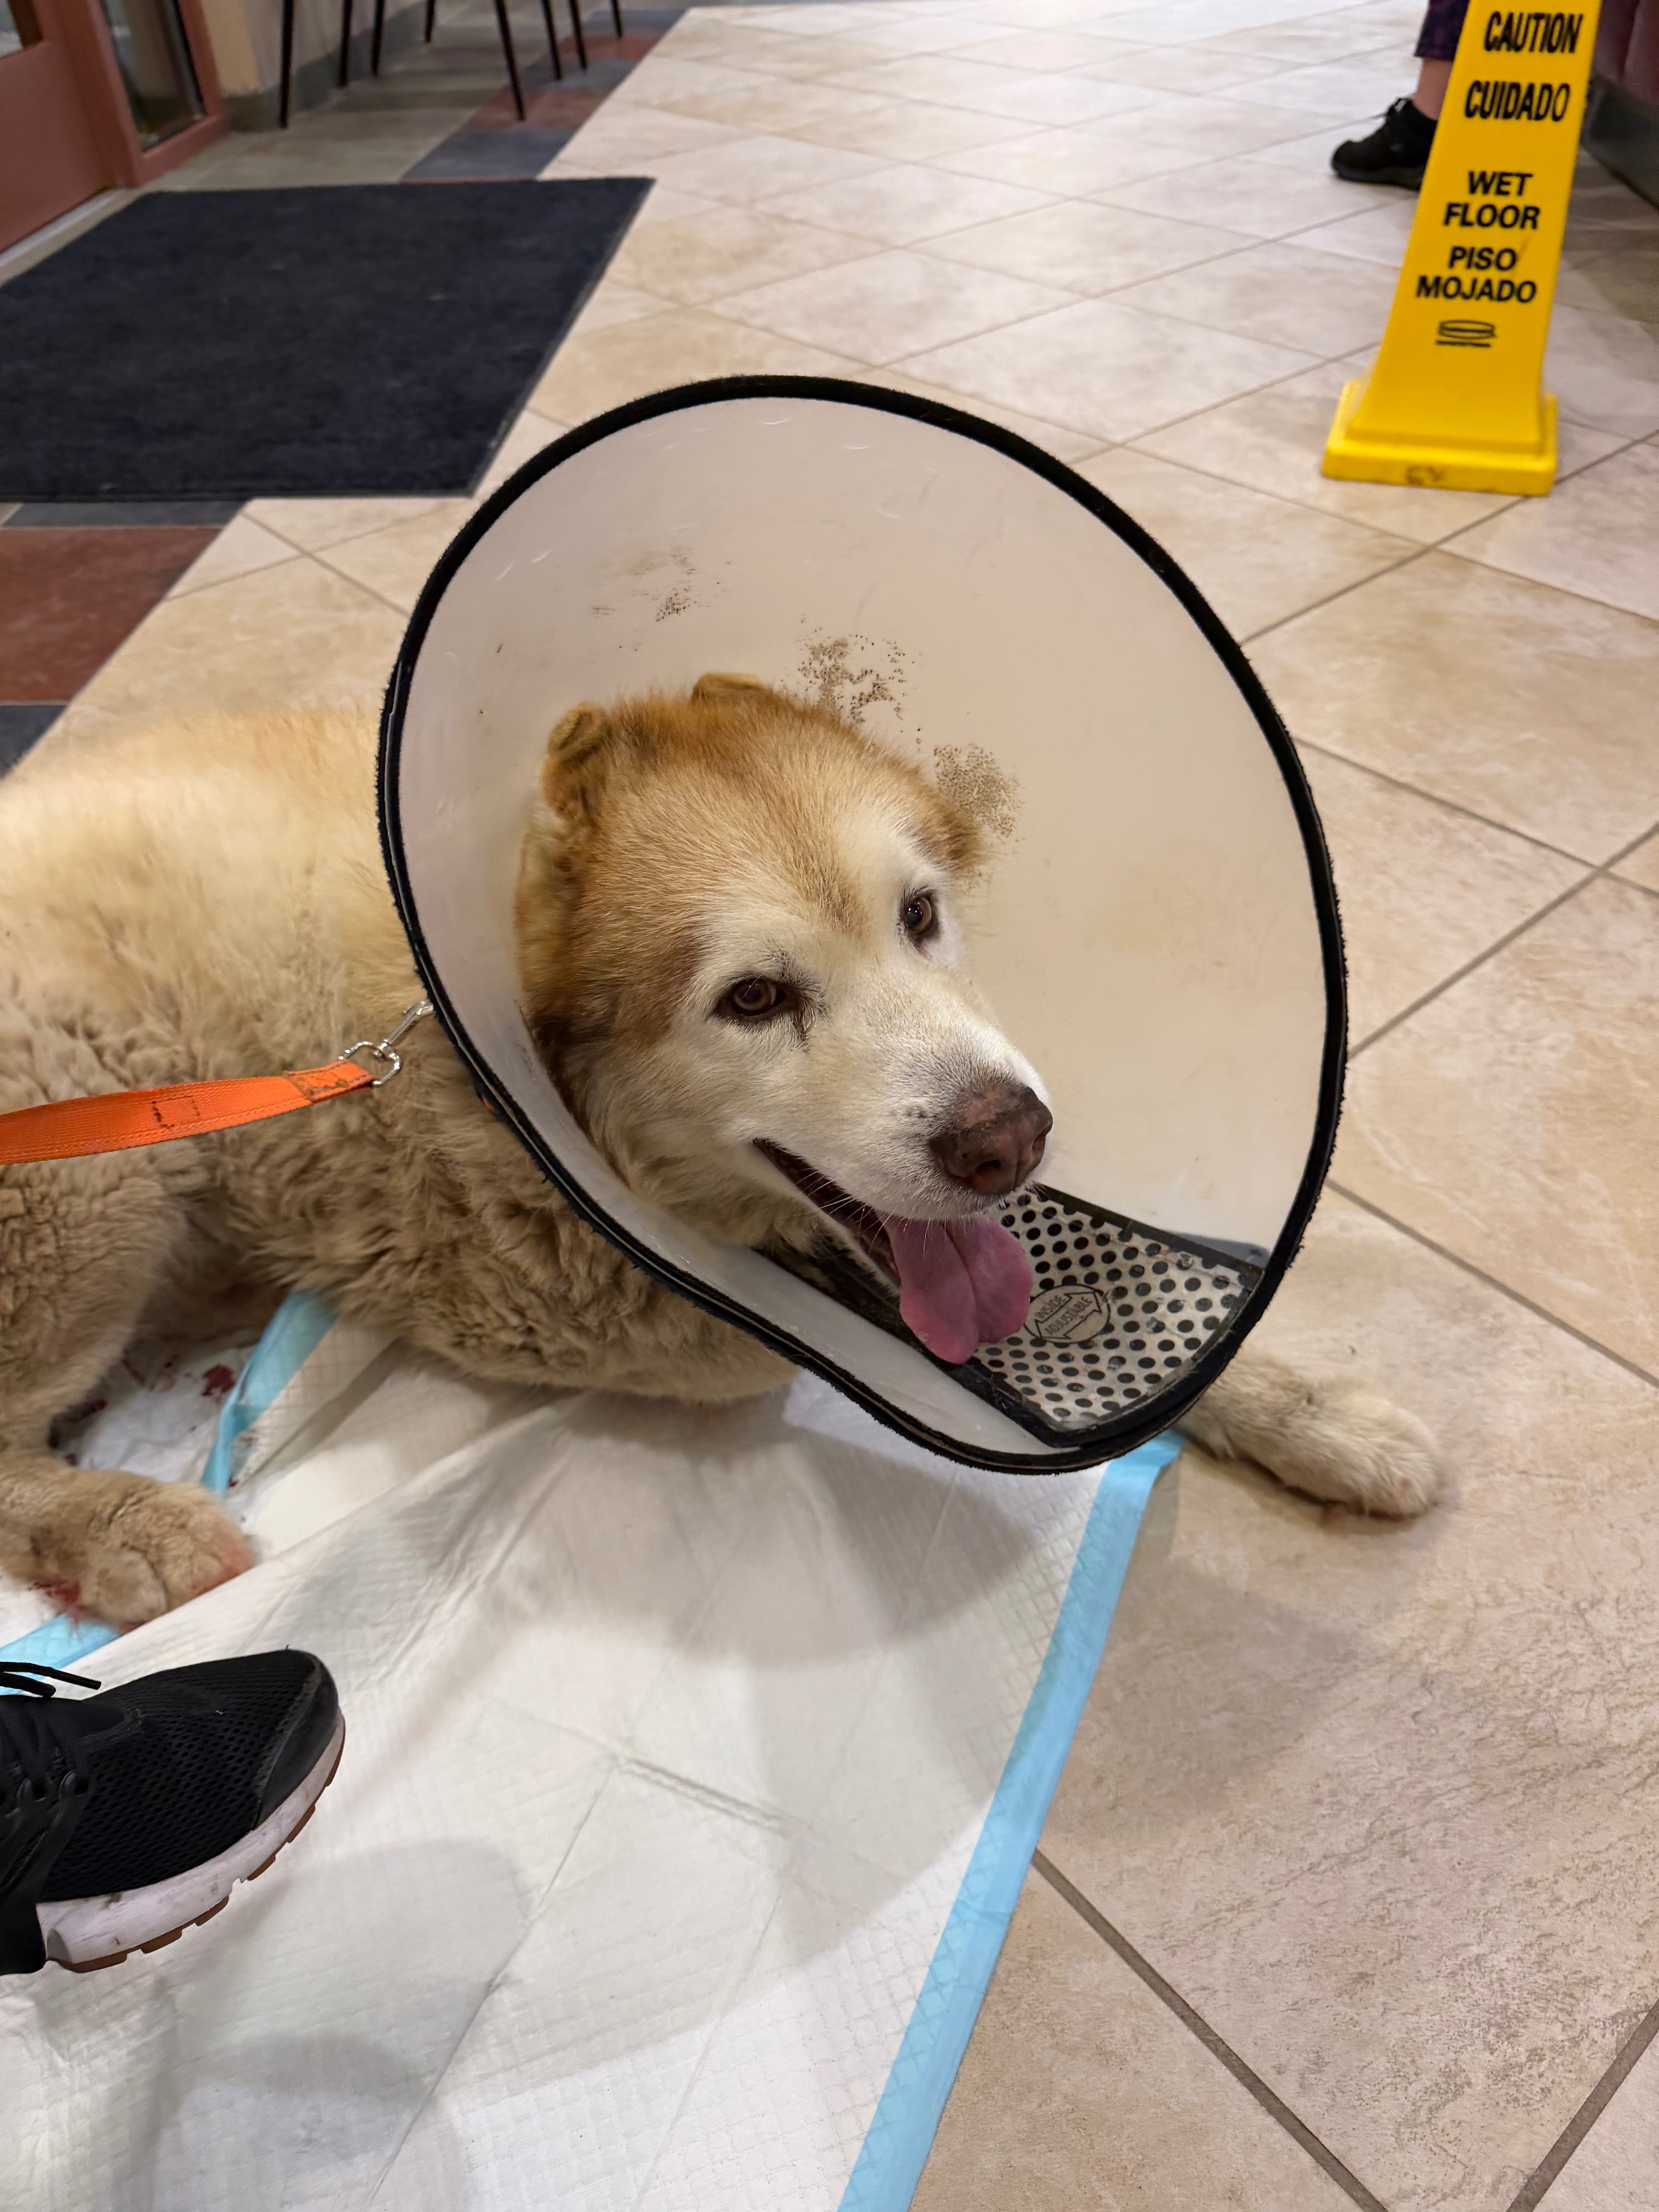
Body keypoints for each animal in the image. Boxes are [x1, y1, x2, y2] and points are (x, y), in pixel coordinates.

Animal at [0, 676, 1440, 1626]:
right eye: (751, 999)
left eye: (922, 915)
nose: (1010, 1138)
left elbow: (1145, 1339)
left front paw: (1319, 1412)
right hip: (89, 1173)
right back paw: (131, 1528)